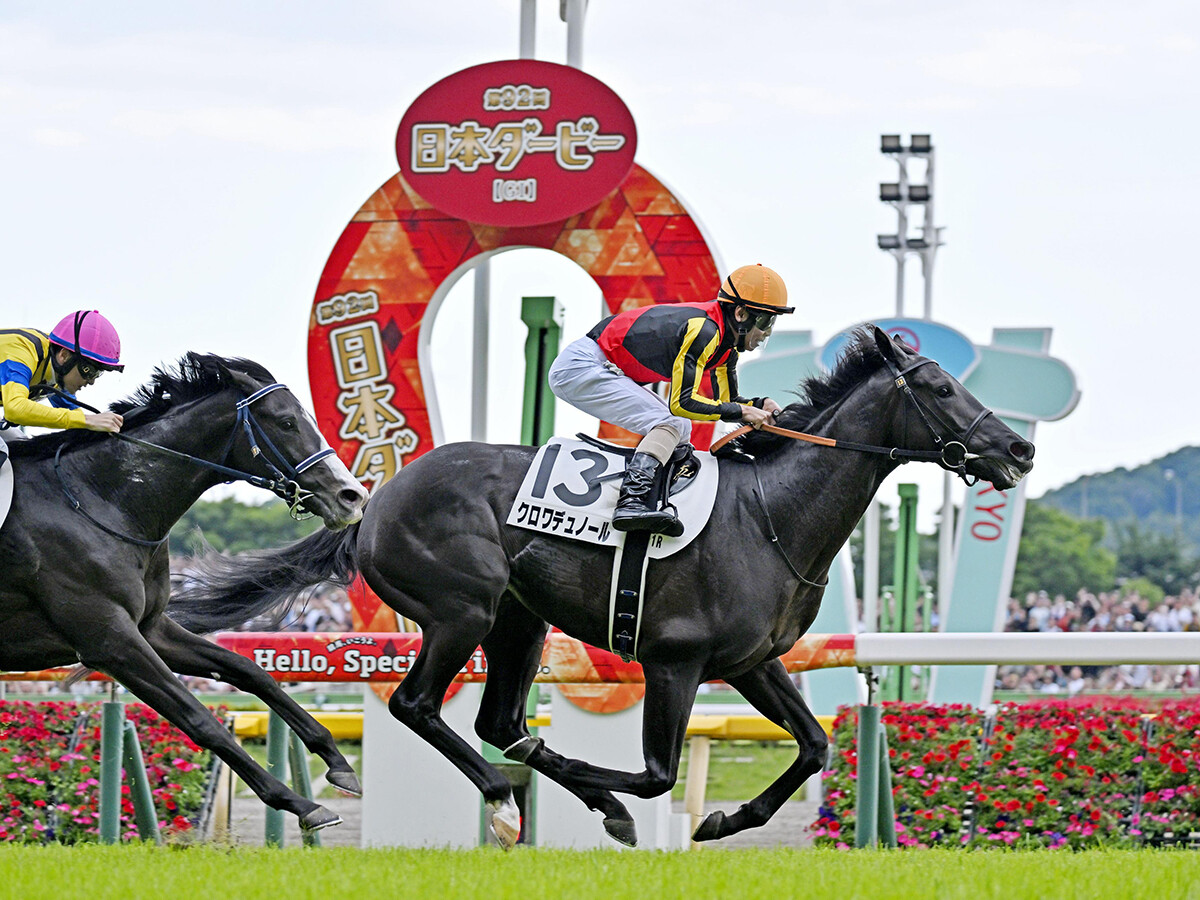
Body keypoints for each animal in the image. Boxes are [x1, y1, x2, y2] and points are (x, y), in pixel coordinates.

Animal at [0, 353, 368, 832]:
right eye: (287, 422)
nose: (353, 496)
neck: (95, 500)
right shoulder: (109, 640)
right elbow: (199, 719)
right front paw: (301, 804)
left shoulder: (150, 628)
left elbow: (249, 671)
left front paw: (337, 762)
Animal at [168, 326, 1035, 847]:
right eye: (941, 389)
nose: (1019, 449)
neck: (772, 515)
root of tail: (374, 499)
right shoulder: (675, 662)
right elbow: (655, 774)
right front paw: (614, 801)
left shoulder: (754, 662)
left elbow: (815, 745)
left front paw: (724, 820)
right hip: (462, 608)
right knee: (422, 706)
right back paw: (507, 798)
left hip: (518, 620)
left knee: (497, 717)